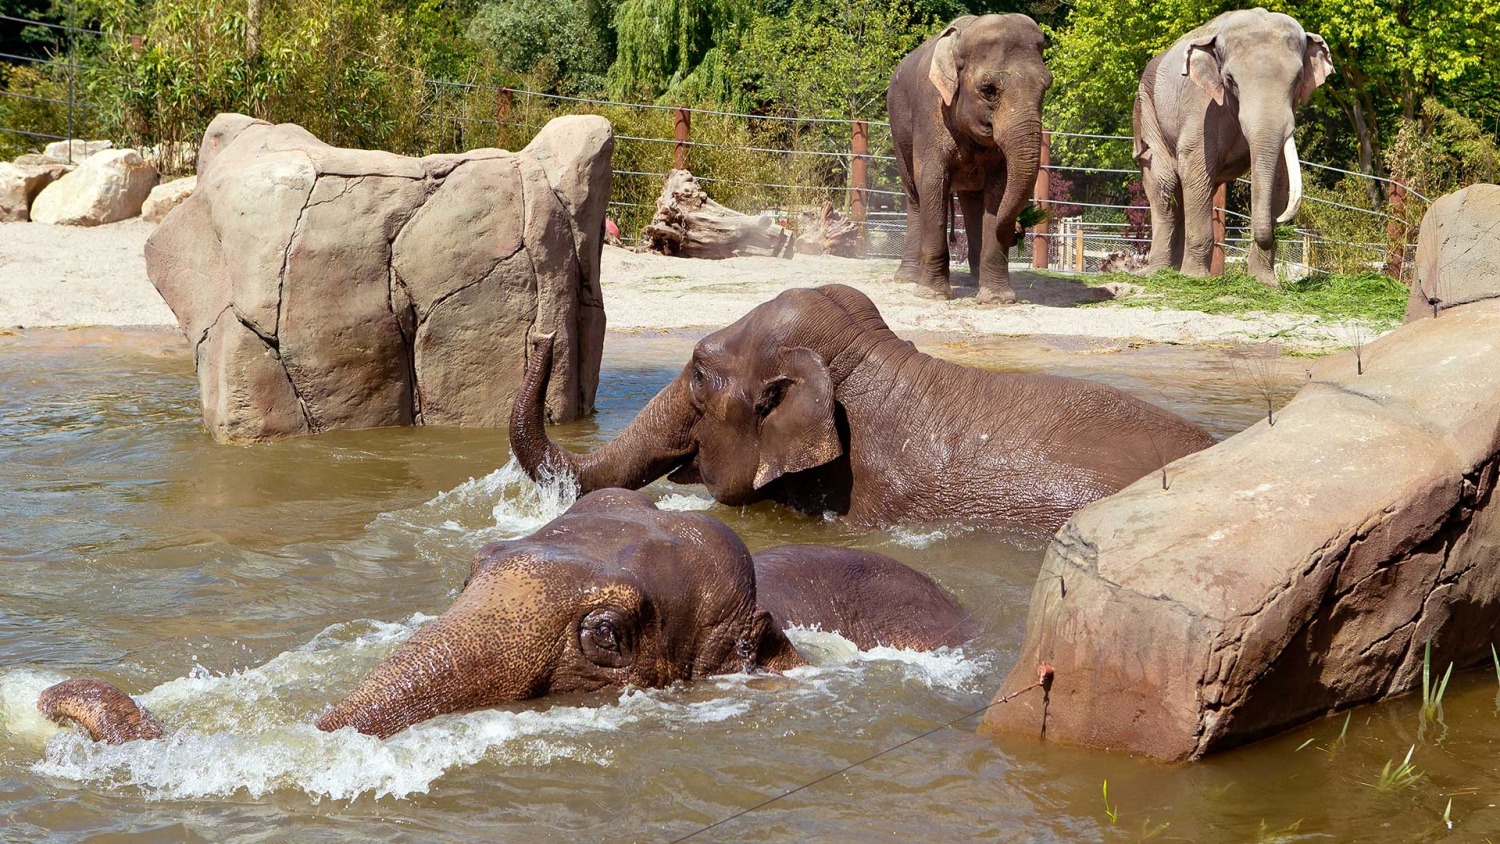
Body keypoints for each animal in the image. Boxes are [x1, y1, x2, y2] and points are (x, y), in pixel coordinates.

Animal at [888, 14, 1056, 304]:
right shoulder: (930, 112)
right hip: (898, 129)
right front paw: (933, 295)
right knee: (914, 196)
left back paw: (976, 280)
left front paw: (997, 300)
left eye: (1046, 85)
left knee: (972, 201)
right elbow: (931, 181)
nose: (1019, 230)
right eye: (988, 89)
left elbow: (999, 190)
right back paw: (908, 278)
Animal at [1134, 6, 1338, 286]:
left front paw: (1265, 283)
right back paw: (1157, 273)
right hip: (1147, 110)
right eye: (1230, 79)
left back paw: (1173, 271)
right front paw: (1196, 279)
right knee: (1164, 185)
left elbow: (1280, 181)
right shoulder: (1201, 108)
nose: (1279, 224)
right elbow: (1195, 169)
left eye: (1298, 78)